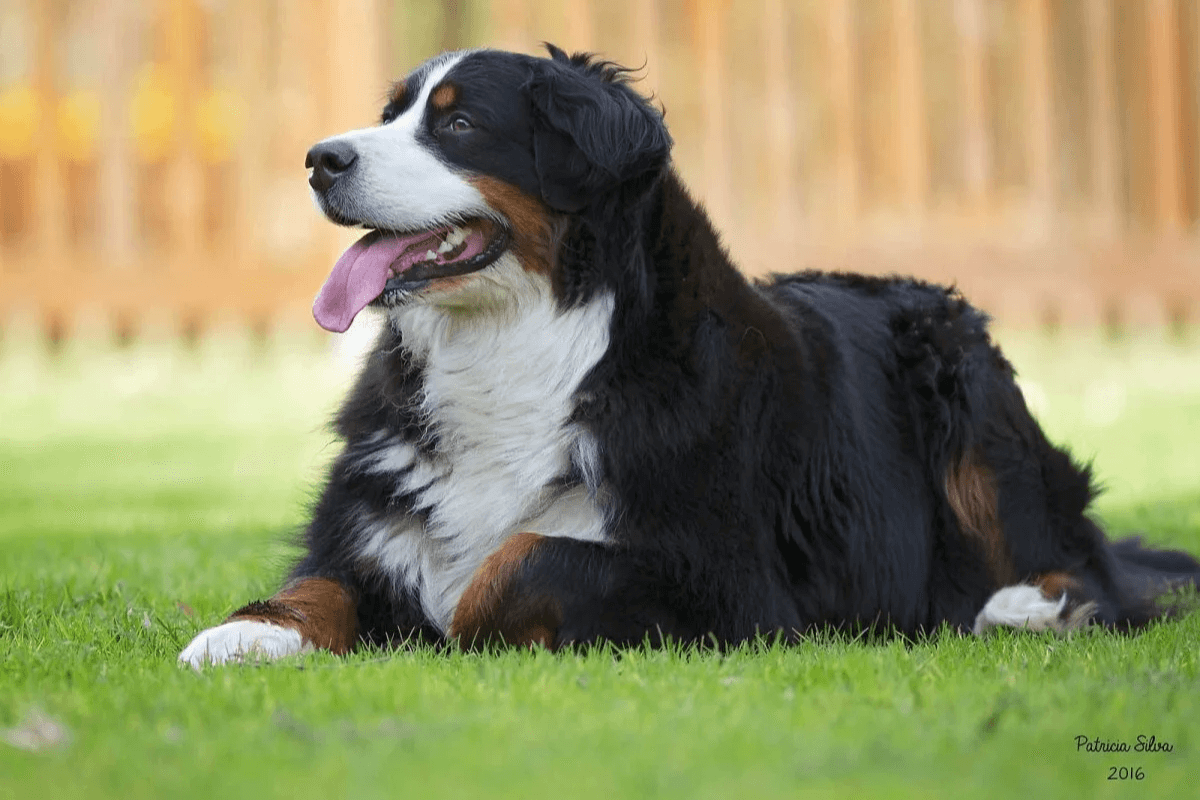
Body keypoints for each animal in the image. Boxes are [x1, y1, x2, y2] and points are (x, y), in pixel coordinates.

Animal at [175, 45, 1190, 671]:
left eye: (457, 126)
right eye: (389, 115)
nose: (321, 159)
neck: (518, 347)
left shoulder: (728, 589)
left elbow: (522, 561)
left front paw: (439, 624)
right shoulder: (368, 523)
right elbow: (317, 581)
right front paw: (244, 634)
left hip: (967, 394)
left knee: (1088, 572)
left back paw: (1019, 608)